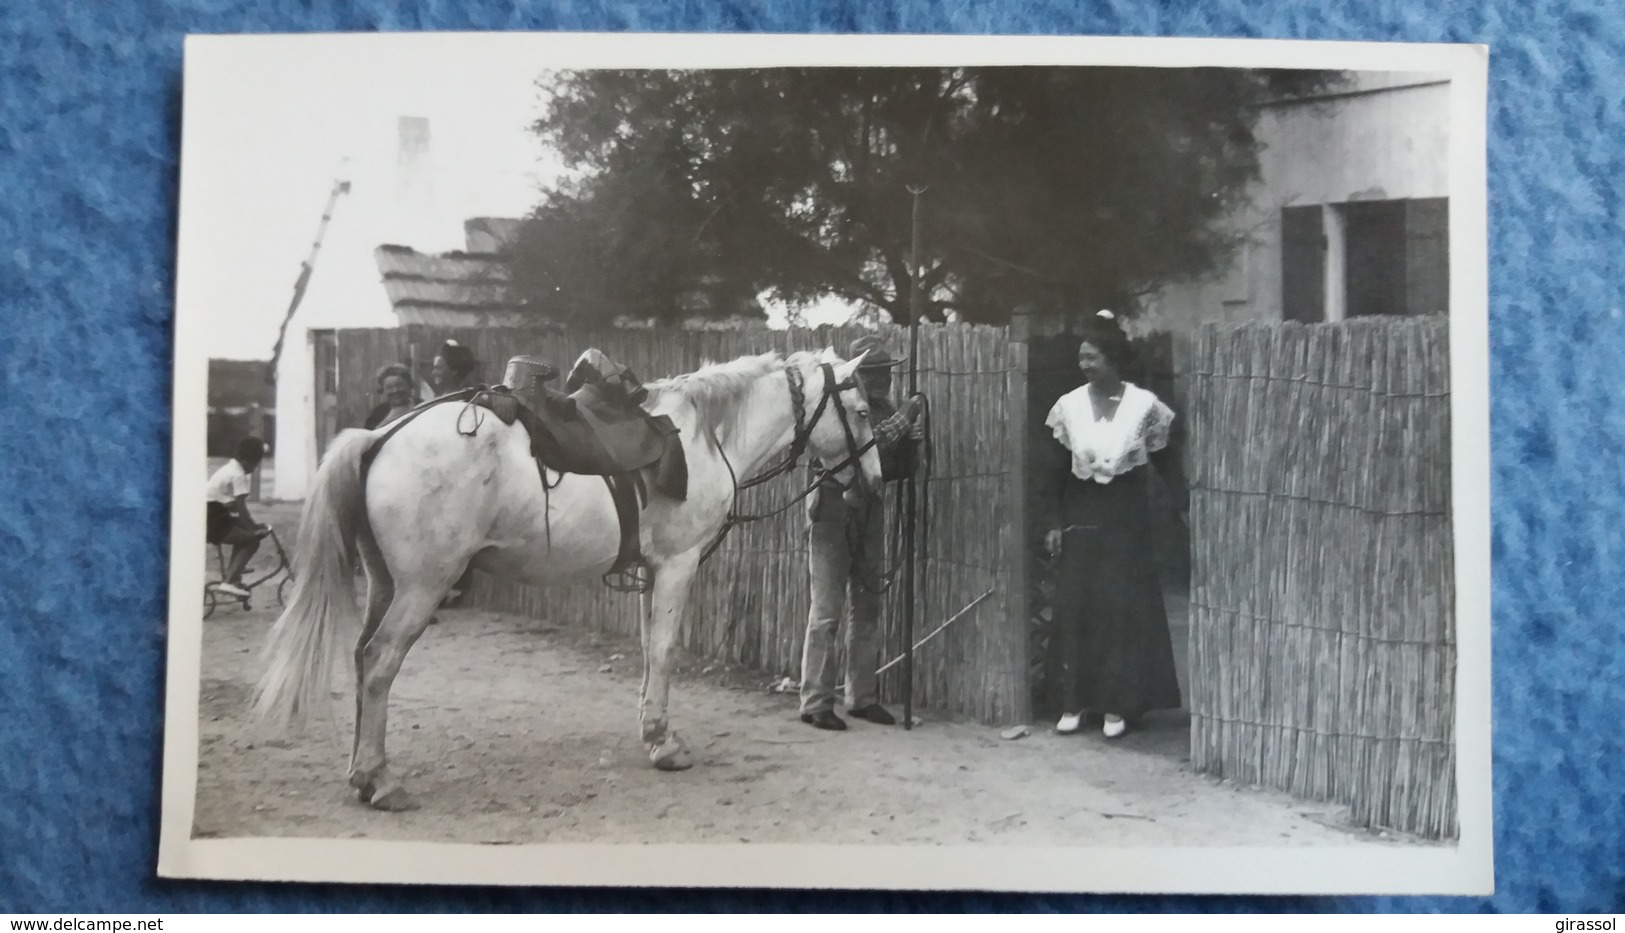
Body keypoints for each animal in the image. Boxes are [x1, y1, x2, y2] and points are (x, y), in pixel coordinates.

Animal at [248, 349, 884, 812]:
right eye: (862, 411)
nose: (875, 482)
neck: (707, 434)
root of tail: (380, 436)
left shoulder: (650, 571)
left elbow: (649, 652)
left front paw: (651, 732)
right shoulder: (677, 565)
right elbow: (666, 652)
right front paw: (665, 744)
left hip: (384, 584)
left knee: (361, 659)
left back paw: (363, 773)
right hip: (421, 589)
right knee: (380, 663)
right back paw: (381, 781)